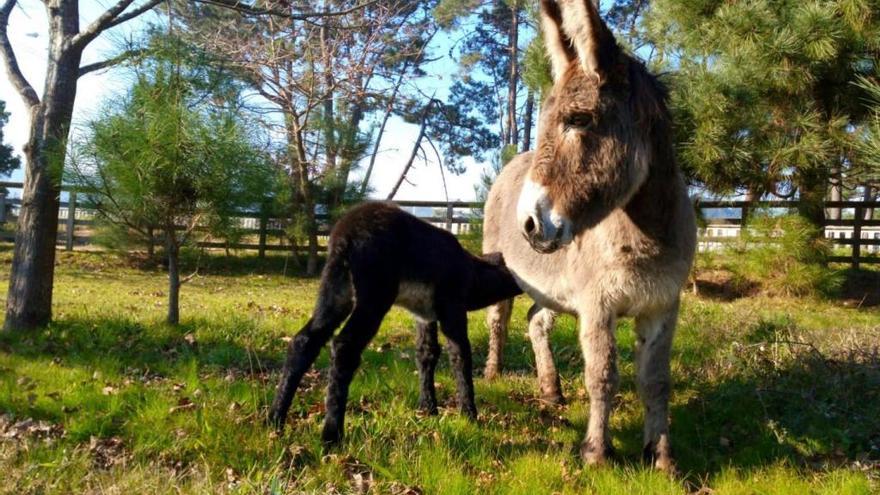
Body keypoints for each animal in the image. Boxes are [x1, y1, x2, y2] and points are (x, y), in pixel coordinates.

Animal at [264, 202, 520, 446]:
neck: (473, 272)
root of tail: (345, 235)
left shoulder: (425, 315)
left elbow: (426, 354)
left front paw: (428, 409)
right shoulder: (452, 306)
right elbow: (460, 355)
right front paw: (469, 415)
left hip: (336, 289)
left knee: (304, 341)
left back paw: (275, 420)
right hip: (375, 293)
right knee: (345, 346)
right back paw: (332, 436)